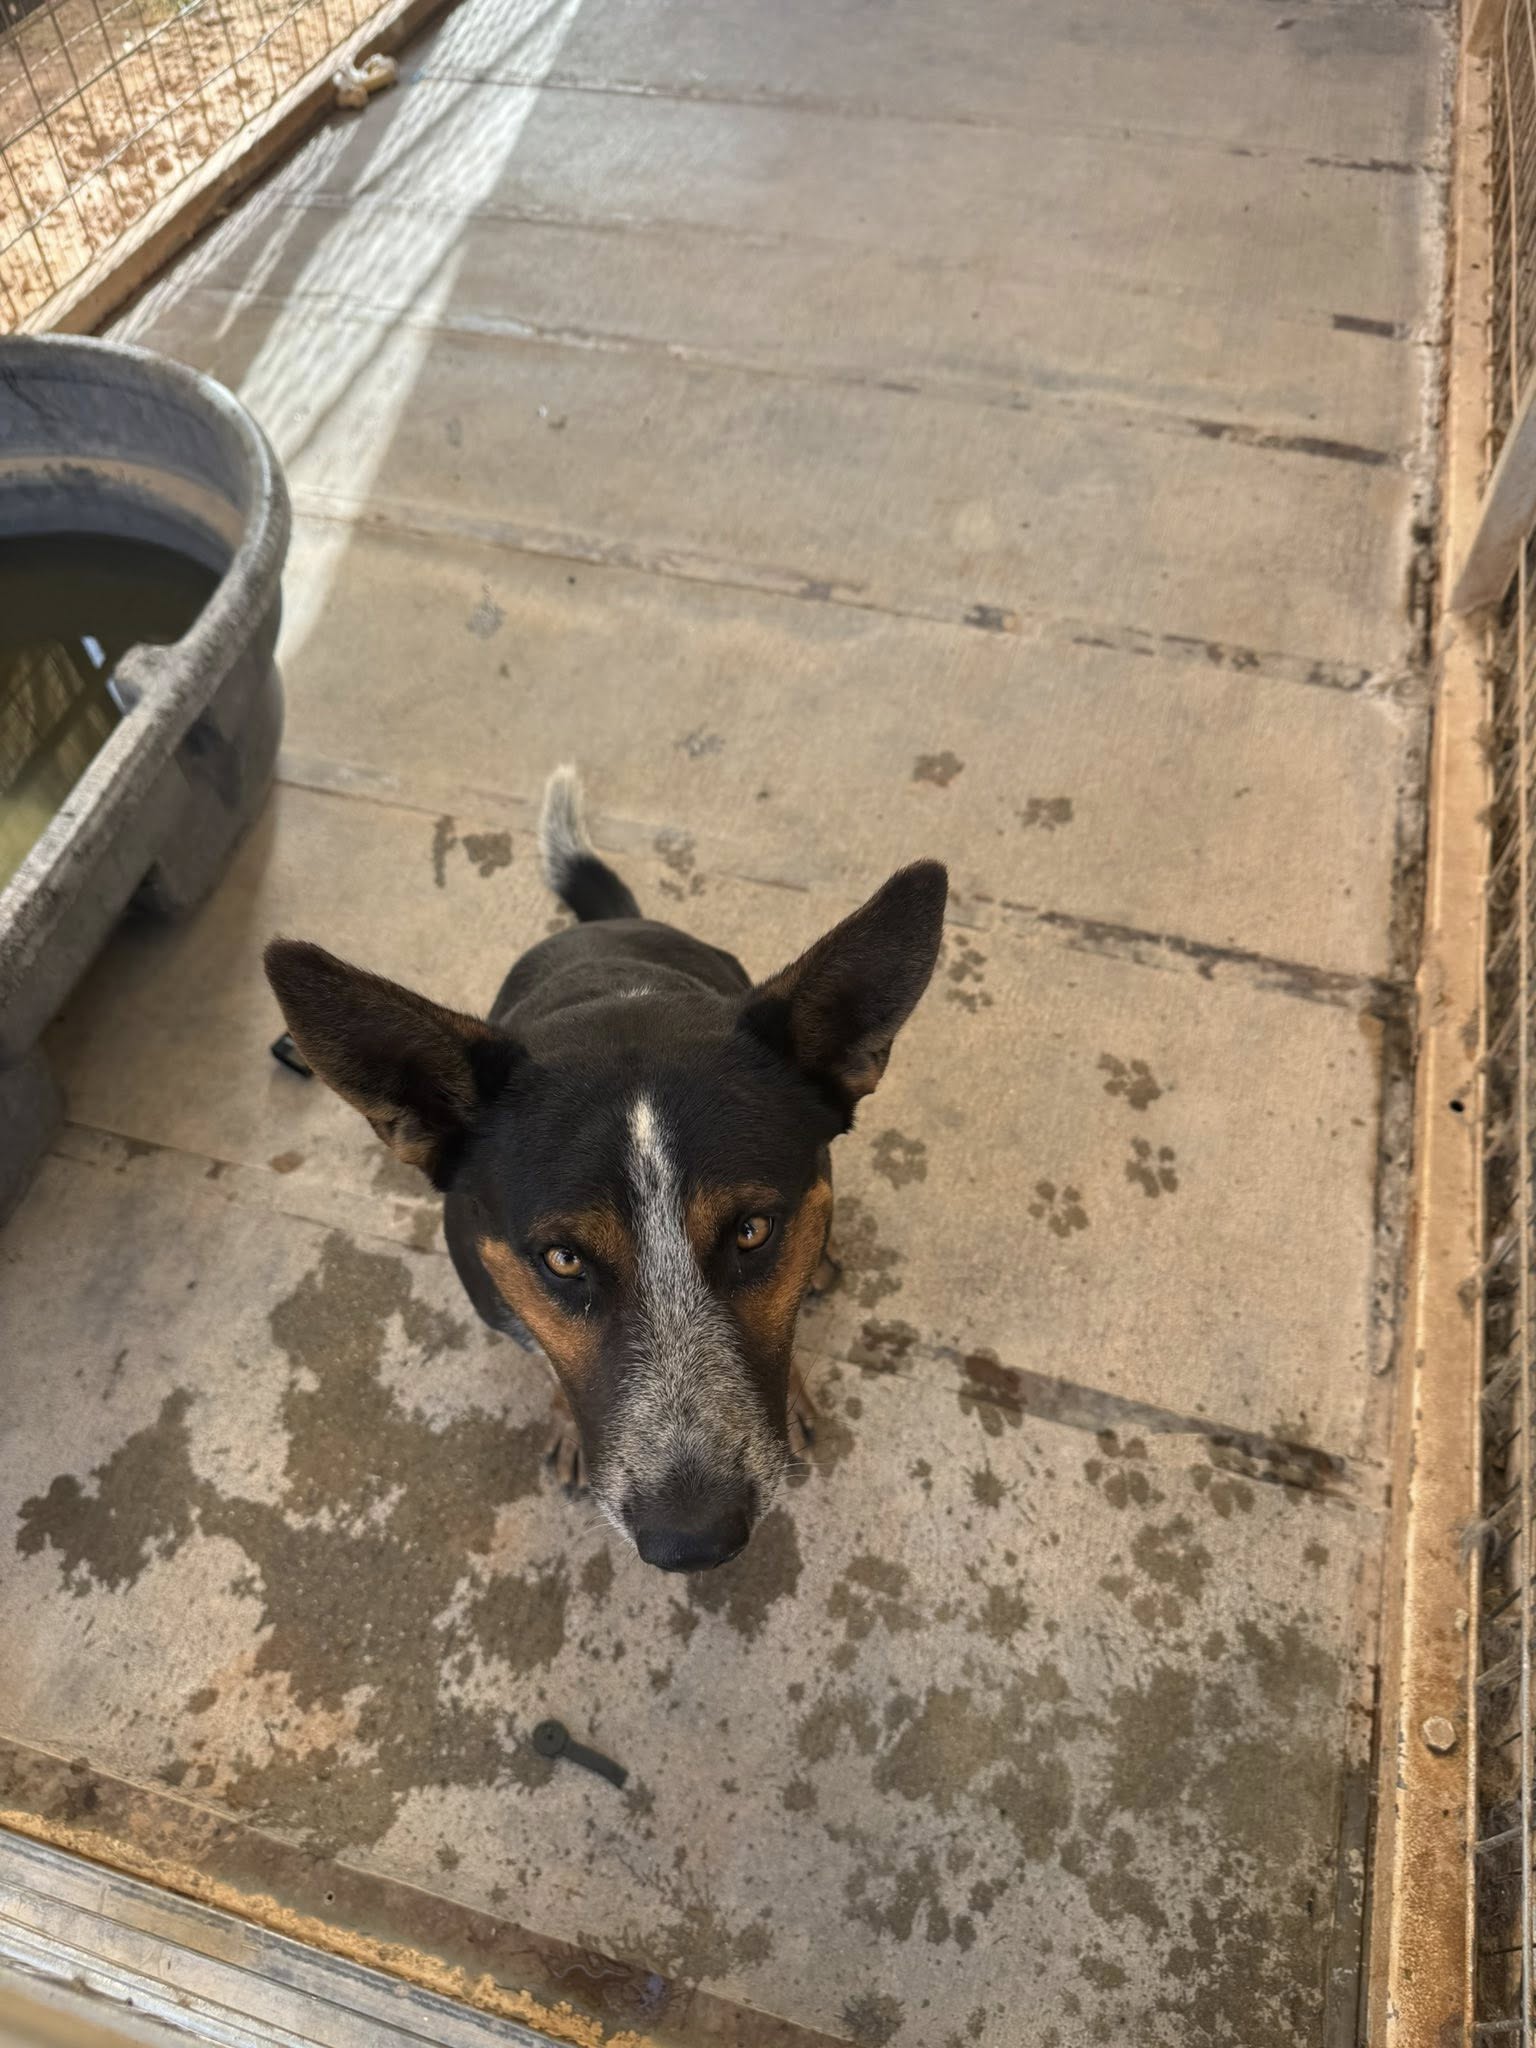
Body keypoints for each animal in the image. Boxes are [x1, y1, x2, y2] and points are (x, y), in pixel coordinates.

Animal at [264, 767, 946, 1572]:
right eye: (562, 1260)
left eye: (753, 1230)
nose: (694, 1544)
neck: (618, 1005)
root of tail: (608, 924)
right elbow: (547, 1357)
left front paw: (797, 1387)